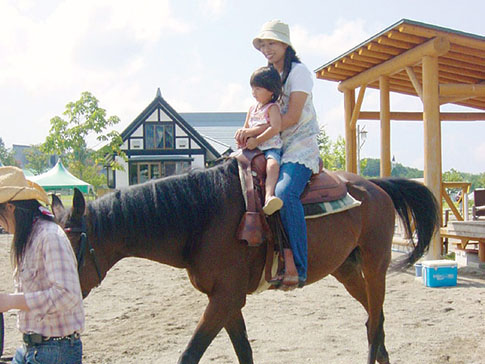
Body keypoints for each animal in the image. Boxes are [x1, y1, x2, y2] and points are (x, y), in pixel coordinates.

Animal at [52, 159, 438, 364]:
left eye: (68, 253)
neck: (202, 217)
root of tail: (374, 186)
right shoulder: (226, 300)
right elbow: (244, 351)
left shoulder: (225, 299)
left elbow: (190, 354)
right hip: (346, 270)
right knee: (377, 318)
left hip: (375, 265)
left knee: (374, 325)